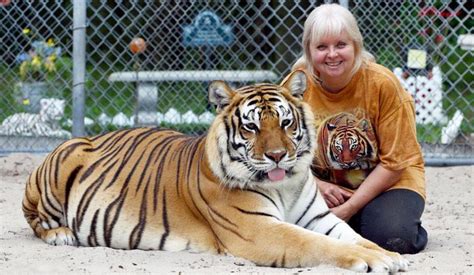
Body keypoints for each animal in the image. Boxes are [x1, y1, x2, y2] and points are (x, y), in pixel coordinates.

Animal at [22, 70, 408, 272]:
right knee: (35, 220)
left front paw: (387, 254)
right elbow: (317, 244)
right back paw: (61, 234)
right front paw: (373, 259)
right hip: (61, 164)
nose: (278, 156)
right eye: (252, 127)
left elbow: (352, 236)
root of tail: (88, 136)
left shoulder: (318, 218)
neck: (286, 185)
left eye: (285, 123)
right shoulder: (258, 229)